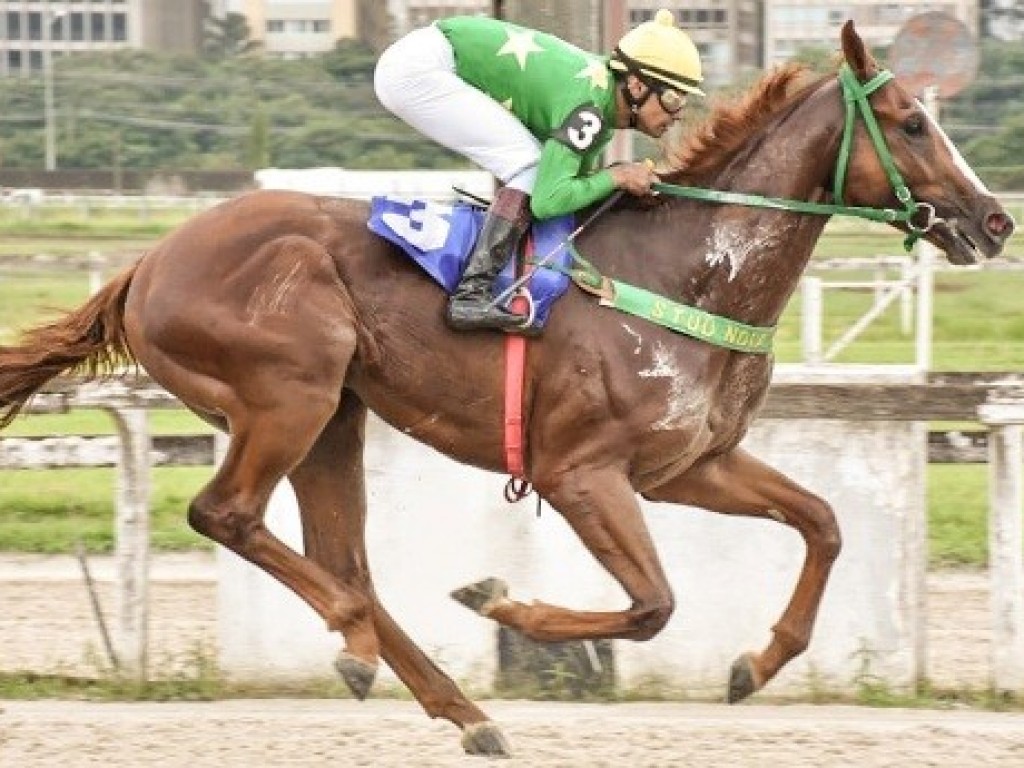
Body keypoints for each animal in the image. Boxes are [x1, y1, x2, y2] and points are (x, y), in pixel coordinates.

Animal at [0, 24, 1011, 757]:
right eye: (913, 124)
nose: (995, 220)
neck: (687, 270)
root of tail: (148, 264)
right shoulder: (581, 473)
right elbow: (653, 605)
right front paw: (503, 606)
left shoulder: (691, 465)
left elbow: (823, 524)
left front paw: (756, 665)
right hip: (289, 390)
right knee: (230, 515)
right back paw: (359, 643)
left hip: (335, 414)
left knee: (342, 559)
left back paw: (454, 705)